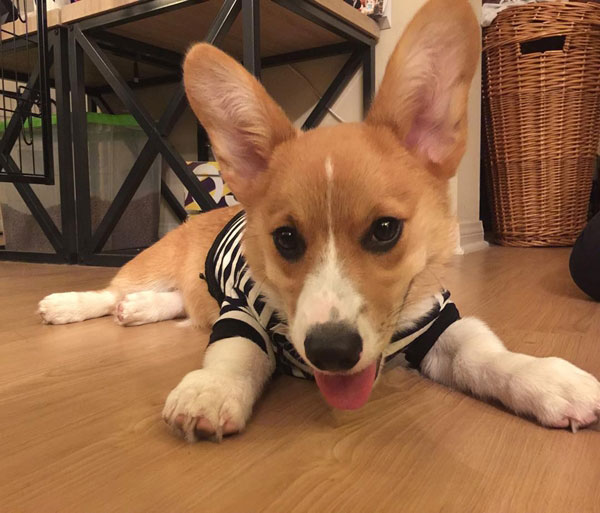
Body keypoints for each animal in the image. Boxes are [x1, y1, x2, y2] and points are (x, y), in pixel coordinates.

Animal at [38, 0, 600, 442]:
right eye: (286, 238)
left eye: (385, 230)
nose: (331, 353)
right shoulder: (239, 309)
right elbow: (234, 352)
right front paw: (209, 392)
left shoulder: (438, 322)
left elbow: (485, 353)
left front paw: (549, 382)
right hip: (151, 262)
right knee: (112, 290)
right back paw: (67, 304)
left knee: (173, 301)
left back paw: (138, 310)